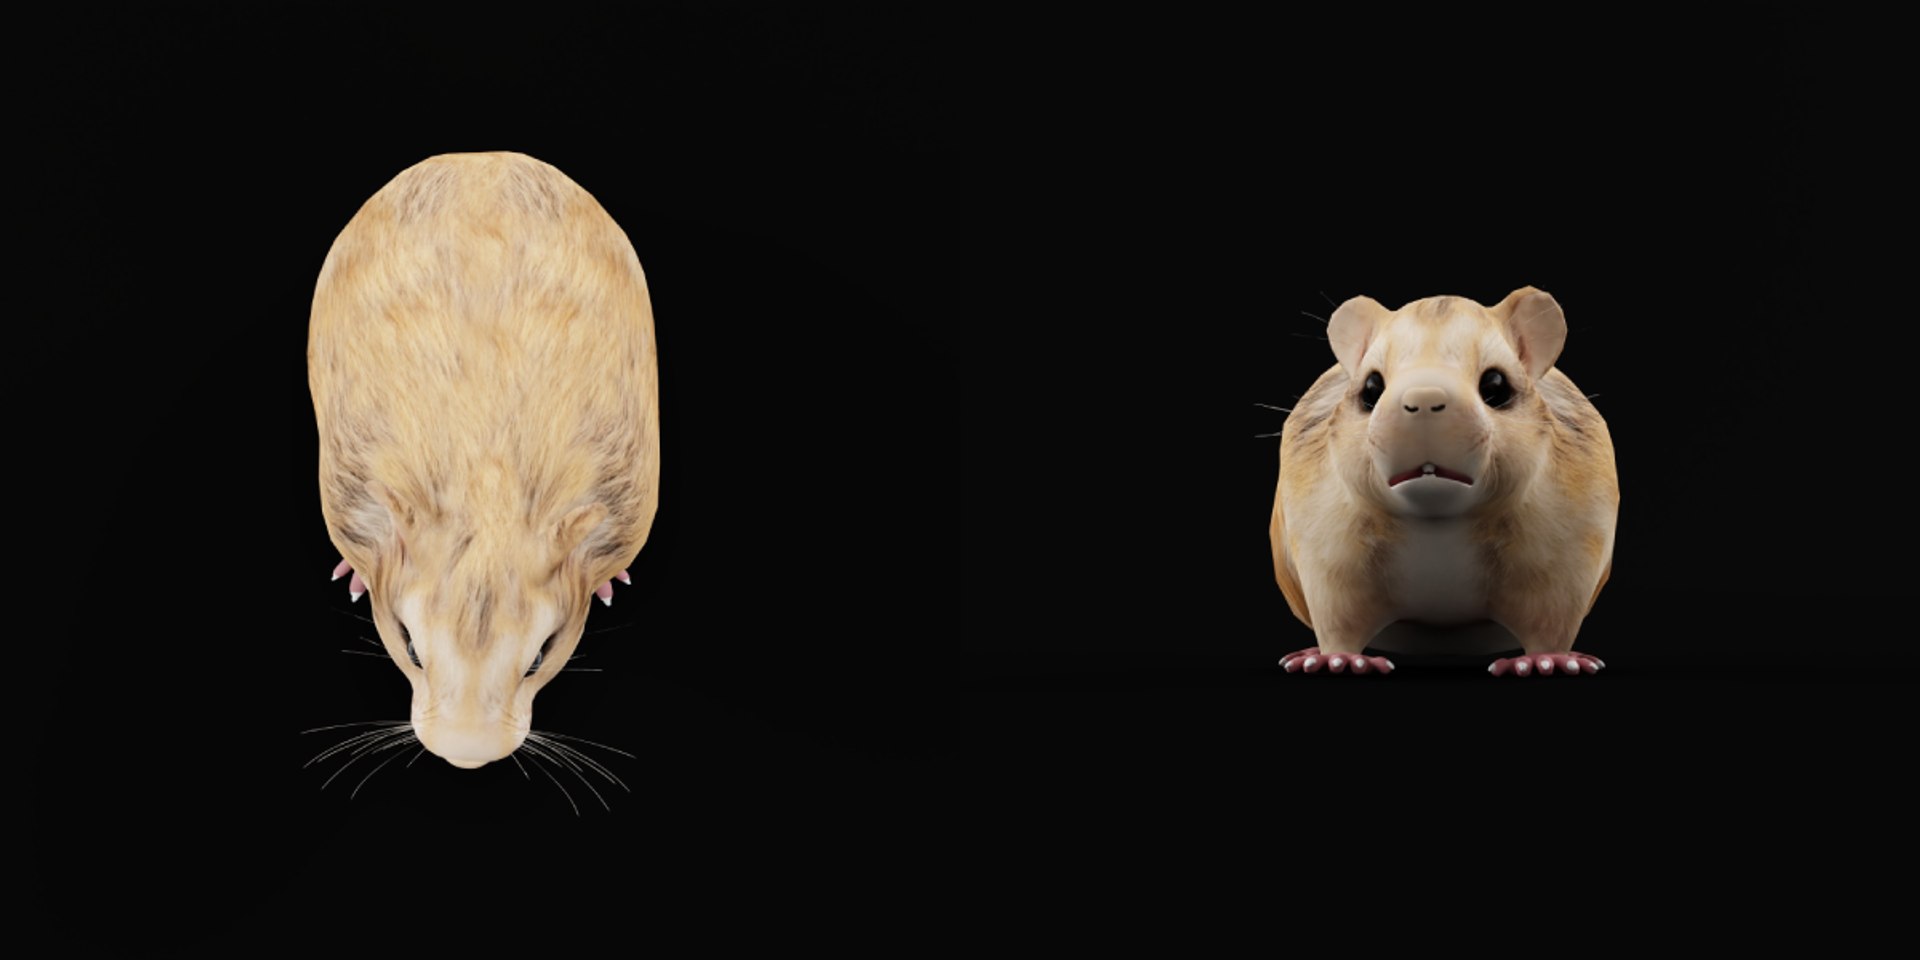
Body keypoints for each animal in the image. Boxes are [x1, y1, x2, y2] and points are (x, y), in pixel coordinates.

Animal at [1269, 288, 1617, 677]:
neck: (1437, 523)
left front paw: (1548, 660)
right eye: (1371, 388)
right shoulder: (1326, 538)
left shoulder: (1567, 537)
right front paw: (1338, 658)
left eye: (1495, 385)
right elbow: (1335, 610)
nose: (1423, 398)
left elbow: (1553, 611)